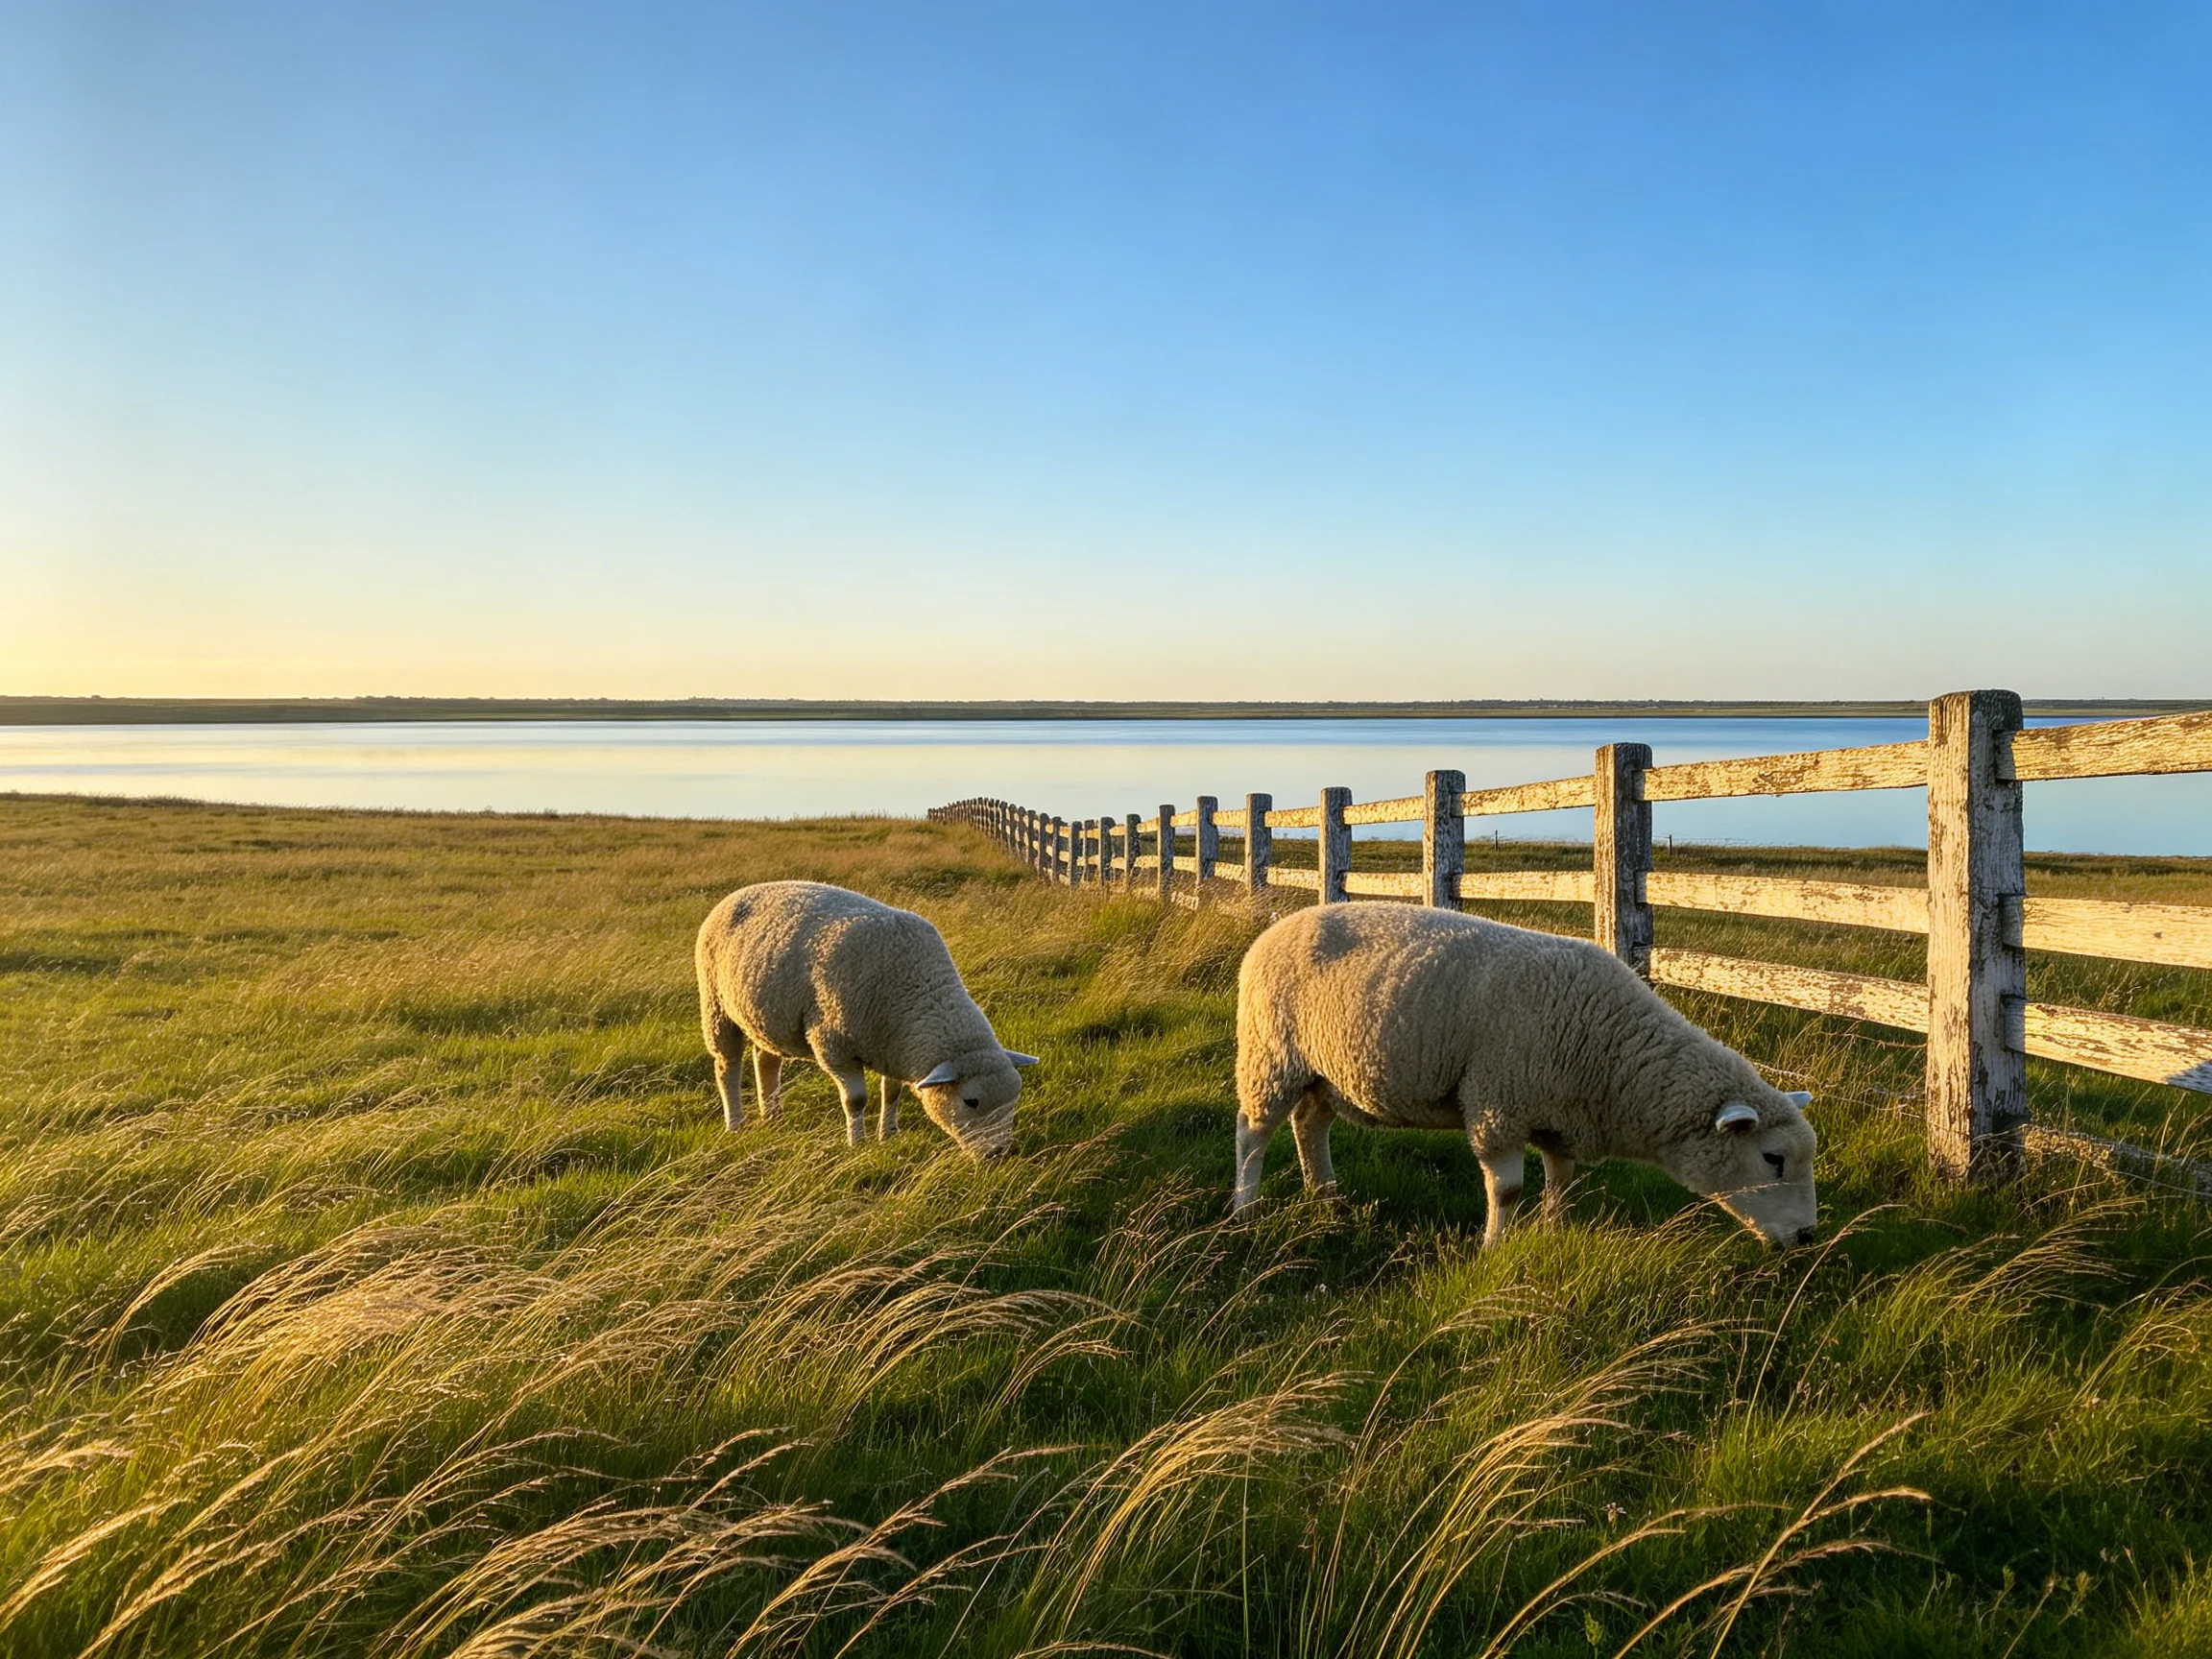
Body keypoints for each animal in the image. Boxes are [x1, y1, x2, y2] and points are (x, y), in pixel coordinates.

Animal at [695, 880, 1036, 1157]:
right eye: (971, 1102)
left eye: (1014, 1099)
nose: (998, 1154)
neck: (919, 992)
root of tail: (735, 894)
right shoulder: (834, 1046)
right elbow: (856, 1101)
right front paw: (857, 1142)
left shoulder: (893, 1048)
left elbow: (893, 1092)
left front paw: (889, 1134)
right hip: (716, 1006)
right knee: (727, 1068)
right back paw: (735, 1123)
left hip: (766, 1017)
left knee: (766, 1060)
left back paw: (772, 1114)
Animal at [1232, 903, 1818, 1248]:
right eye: (1773, 1158)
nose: (1809, 1236)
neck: (1614, 1054)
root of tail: (1278, 926)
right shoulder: (1499, 1105)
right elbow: (1509, 1189)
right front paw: (1495, 1249)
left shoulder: (1560, 1118)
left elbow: (1562, 1179)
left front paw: (1553, 1231)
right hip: (1270, 1053)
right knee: (1252, 1134)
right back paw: (1245, 1209)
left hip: (1321, 1072)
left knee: (1309, 1125)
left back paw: (1326, 1197)